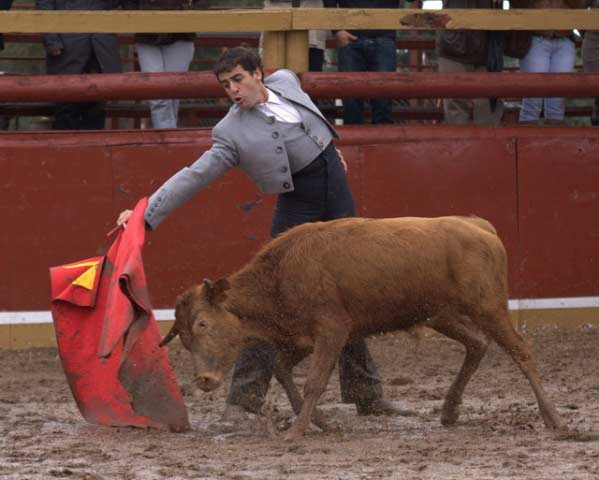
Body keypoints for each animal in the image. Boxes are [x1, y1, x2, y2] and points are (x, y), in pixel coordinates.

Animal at [159, 216, 564, 440]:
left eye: (203, 322)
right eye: (183, 337)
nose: (204, 380)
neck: (278, 276)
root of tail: (479, 226)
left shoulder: (332, 330)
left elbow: (313, 381)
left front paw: (296, 431)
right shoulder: (301, 338)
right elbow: (282, 370)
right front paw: (321, 423)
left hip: (489, 307)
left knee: (521, 351)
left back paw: (554, 417)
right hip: (441, 314)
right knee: (477, 344)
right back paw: (449, 411)